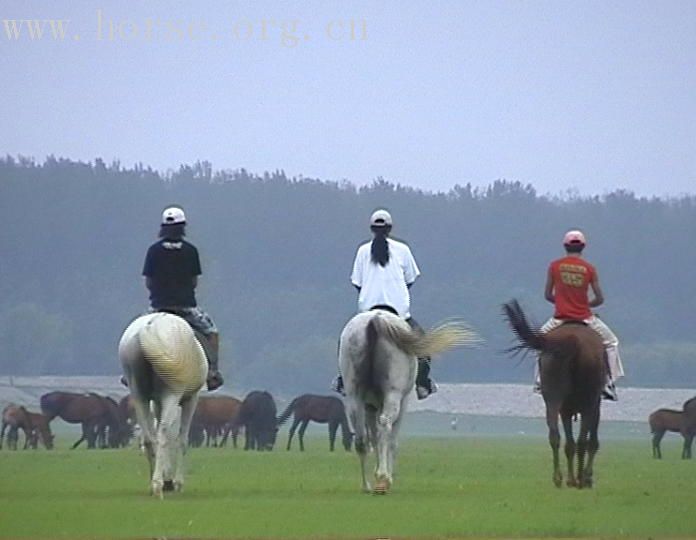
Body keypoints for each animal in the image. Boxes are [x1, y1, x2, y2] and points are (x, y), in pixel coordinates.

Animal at [118, 312, 207, 498]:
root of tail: (148, 328)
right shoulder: (191, 399)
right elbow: (182, 440)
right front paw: (177, 482)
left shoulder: (157, 402)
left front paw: (168, 478)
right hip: (172, 395)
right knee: (162, 435)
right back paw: (159, 485)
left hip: (139, 396)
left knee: (149, 438)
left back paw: (155, 483)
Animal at [338, 312, 478, 494]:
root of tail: (375, 319)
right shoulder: (403, 403)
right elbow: (391, 440)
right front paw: (386, 476)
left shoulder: (370, 406)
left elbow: (375, 438)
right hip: (394, 395)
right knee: (385, 426)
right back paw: (383, 479)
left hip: (355, 396)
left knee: (361, 438)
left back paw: (366, 486)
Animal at [502, 300, 608, 490]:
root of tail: (573, 340)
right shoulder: (594, 405)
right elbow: (591, 442)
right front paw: (586, 477)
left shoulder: (566, 410)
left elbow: (569, 443)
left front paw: (571, 478)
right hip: (588, 401)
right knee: (583, 441)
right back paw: (580, 480)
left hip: (553, 398)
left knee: (555, 436)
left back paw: (559, 478)